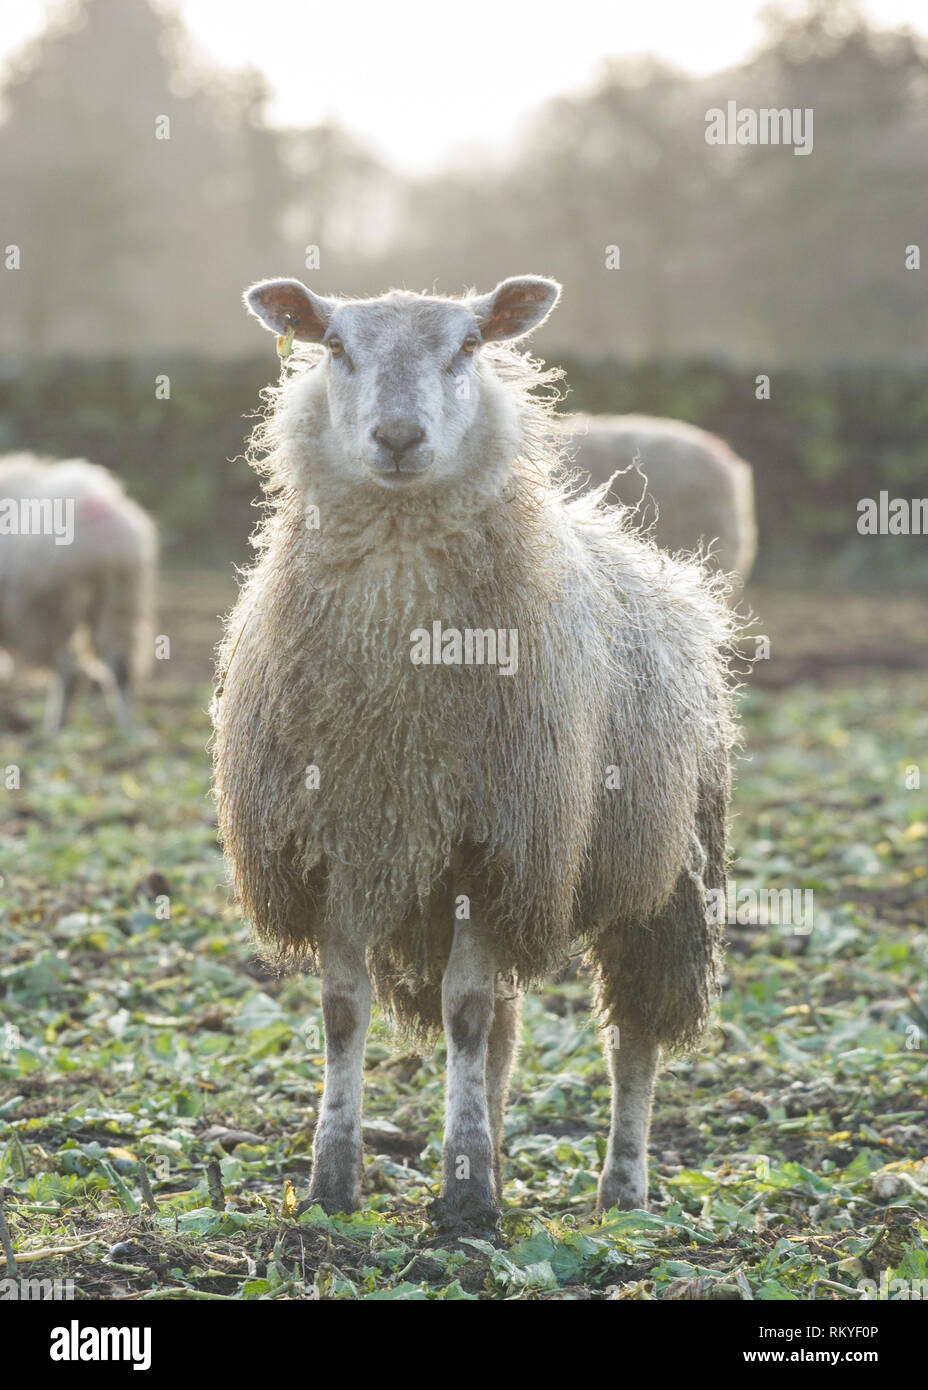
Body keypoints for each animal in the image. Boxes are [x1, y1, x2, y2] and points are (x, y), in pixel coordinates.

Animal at [0, 453, 157, 730]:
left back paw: (54, 729)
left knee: (69, 671)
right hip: (119, 600)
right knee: (118, 665)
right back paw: (128, 729)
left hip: (39, 615)